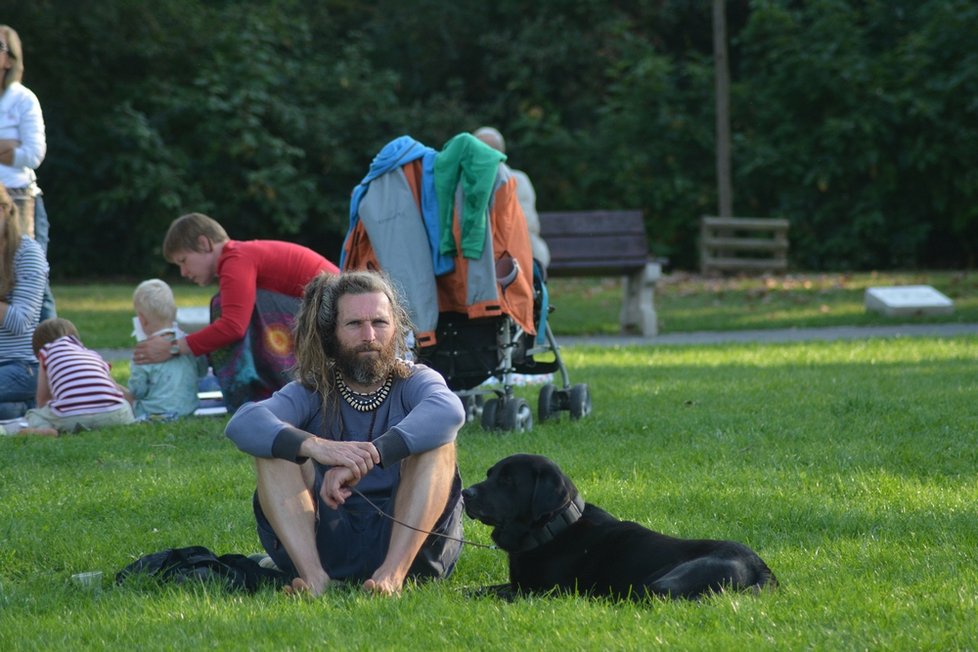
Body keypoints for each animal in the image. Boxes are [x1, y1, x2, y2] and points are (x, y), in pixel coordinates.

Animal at [462, 454, 772, 600]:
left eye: (507, 480)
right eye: (490, 474)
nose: (465, 493)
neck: (555, 530)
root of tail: (763, 569)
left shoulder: (540, 592)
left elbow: (494, 594)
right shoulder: (520, 585)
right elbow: (479, 588)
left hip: (659, 584)